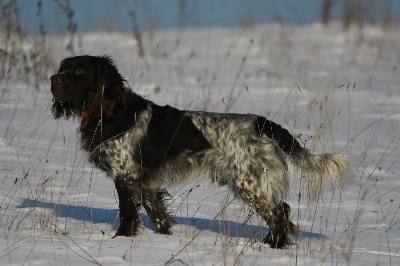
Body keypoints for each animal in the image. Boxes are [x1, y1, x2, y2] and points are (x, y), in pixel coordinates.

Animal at [50, 55, 350, 248]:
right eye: (63, 67)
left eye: (80, 71)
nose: (53, 79)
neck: (110, 110)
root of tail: (263, 123)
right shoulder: (143, 181)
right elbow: (157, 212)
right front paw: (163, 237)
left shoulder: (126, 176)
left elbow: (127, 215)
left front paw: (121, 240)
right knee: (282, 211)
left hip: (249, 182)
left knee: (278, 215)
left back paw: (274, 246)